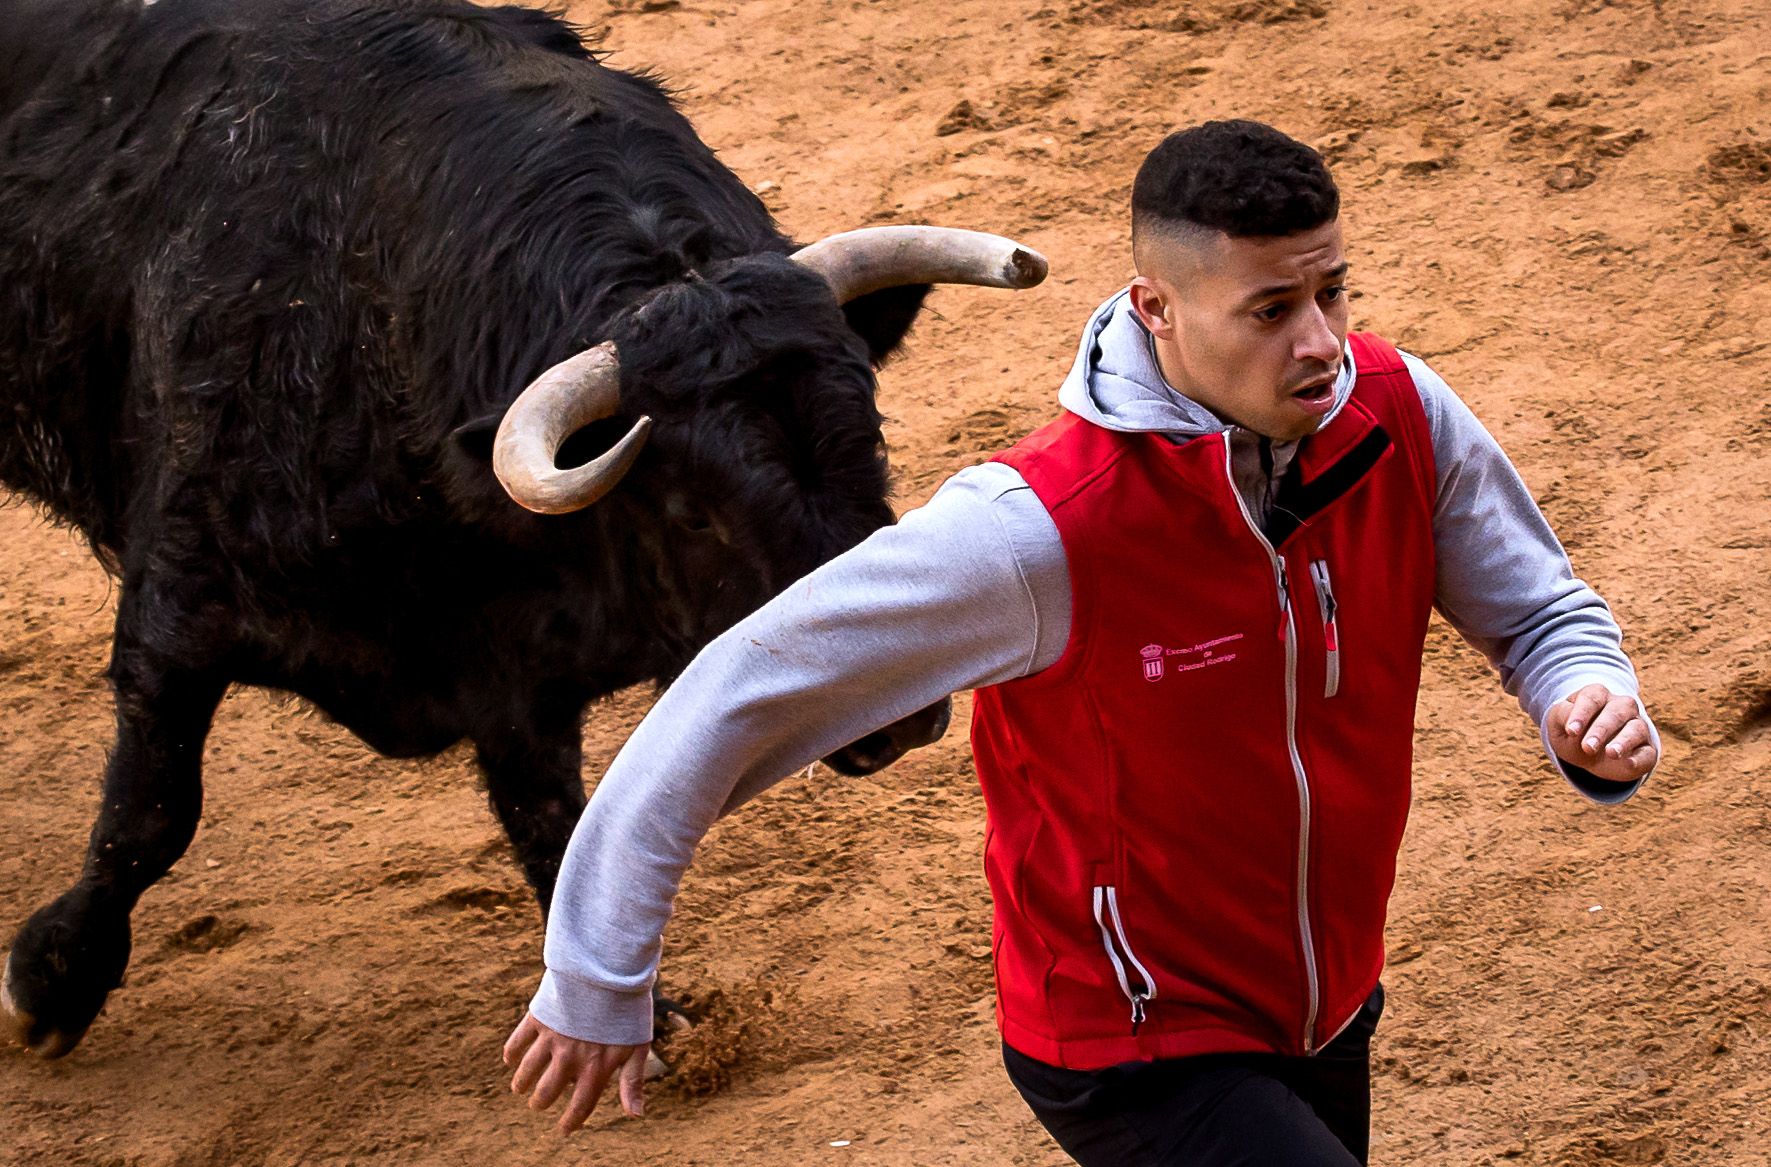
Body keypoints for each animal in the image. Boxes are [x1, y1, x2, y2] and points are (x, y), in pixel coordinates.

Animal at [0, 0, 1041, 1062]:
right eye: (694, 511)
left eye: (868, 437)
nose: (899, 719)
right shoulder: (181, 602)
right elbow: (150, 811)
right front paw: (49, 983)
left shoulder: (516, 669)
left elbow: (557, 827)